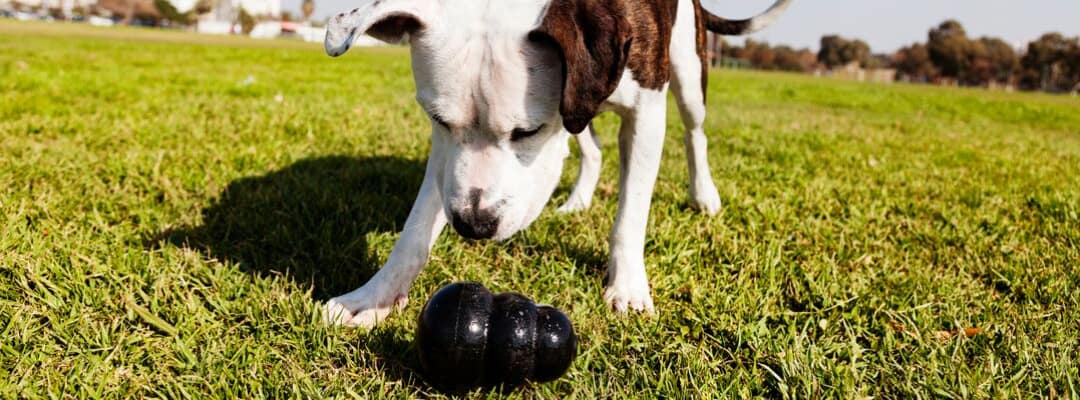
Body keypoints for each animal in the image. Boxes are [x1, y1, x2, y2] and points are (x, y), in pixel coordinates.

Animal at [321, 0, 794, 326]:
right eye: (438, 120)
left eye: (527, 131)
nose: (474, 224)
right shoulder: (450, 148)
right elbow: (415, 230)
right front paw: (373, 297)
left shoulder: (645, 110)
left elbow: (631, 214)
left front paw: (627, 285)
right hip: (581, 102)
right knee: (592, 149)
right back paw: (578, 201)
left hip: (686, 69)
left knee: (695, 131)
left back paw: (703, 195)